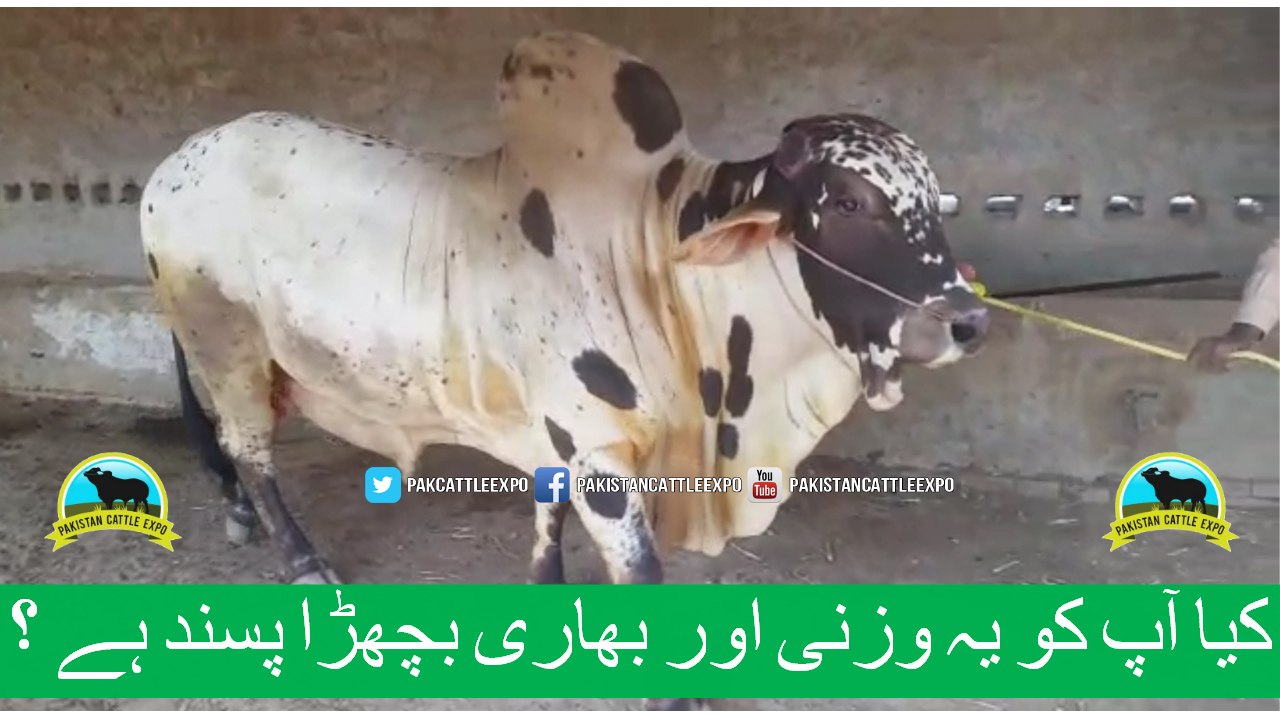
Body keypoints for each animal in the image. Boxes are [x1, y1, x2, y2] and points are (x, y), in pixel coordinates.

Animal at [140, 30, 988, 708]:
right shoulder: (600, 451)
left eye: (930, 197)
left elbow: (546, 509)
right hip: (230, 347)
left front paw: (546, 596)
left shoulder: (559, 432)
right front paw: (670, 695)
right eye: (846, 202)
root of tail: (177, 162)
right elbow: (642, 573)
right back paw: (302, 562)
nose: (968, 320)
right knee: (249, 449)